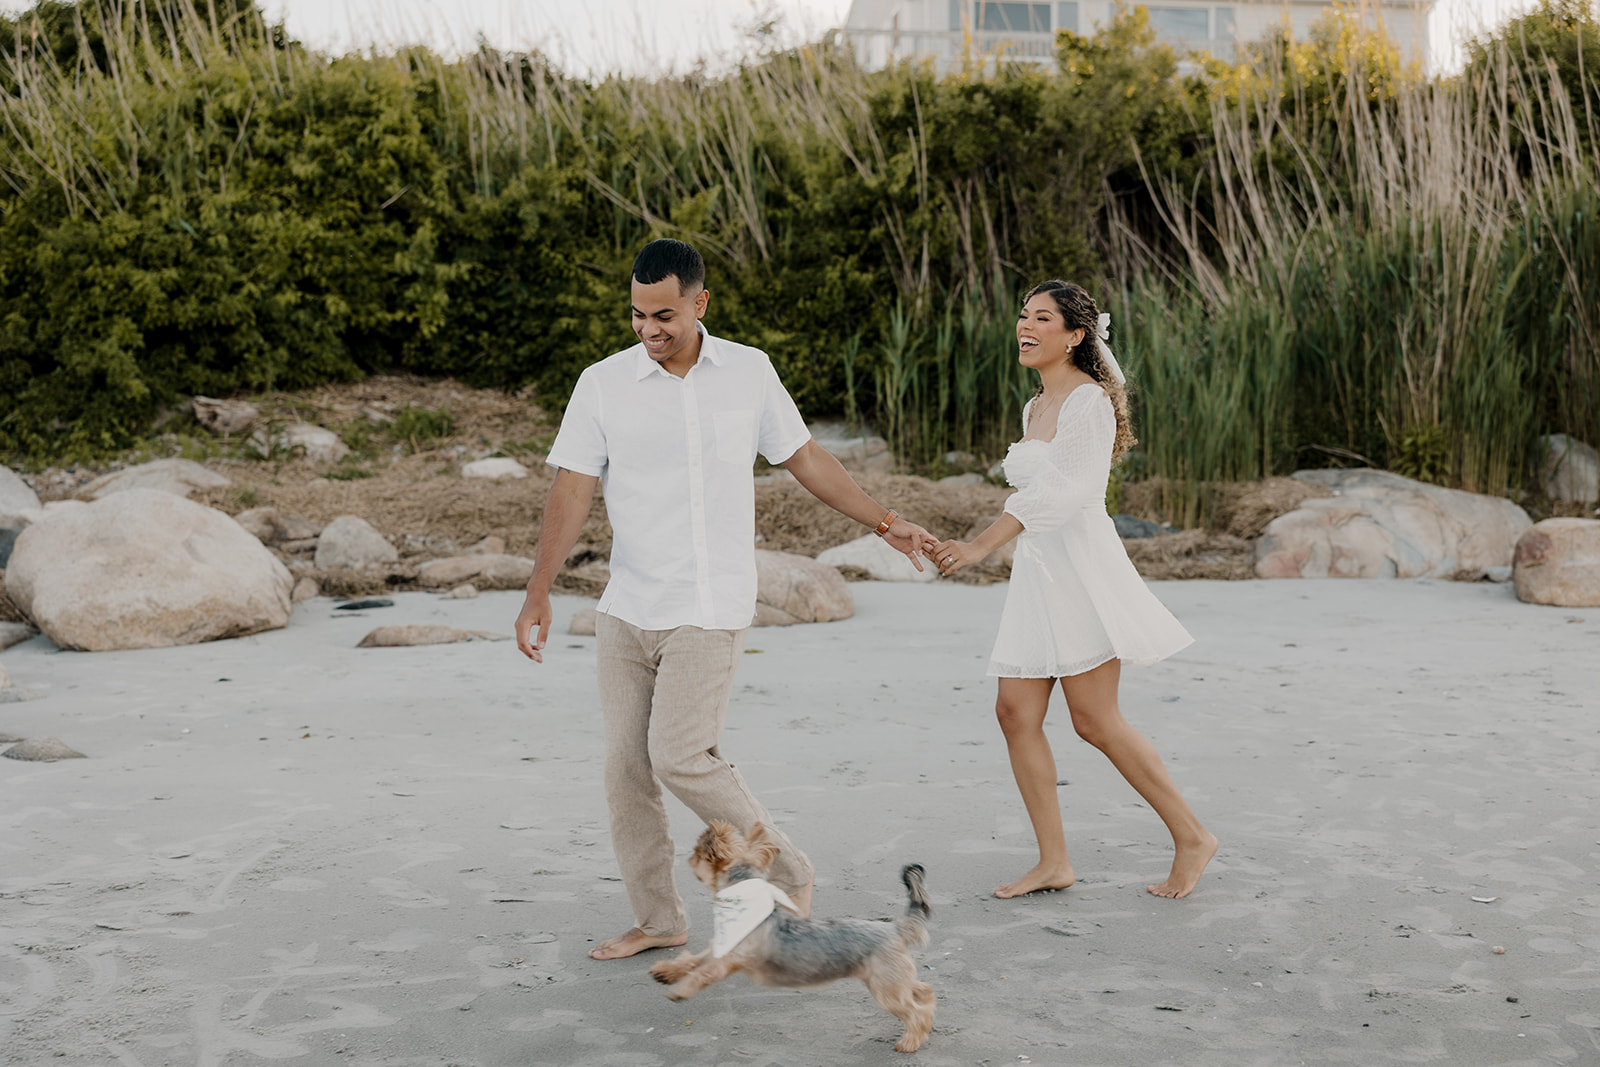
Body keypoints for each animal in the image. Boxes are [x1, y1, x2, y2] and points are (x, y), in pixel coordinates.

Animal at [643, 825, 934, 1055]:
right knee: (922, 990)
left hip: (885, 988)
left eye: (697, 854)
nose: (688, 859)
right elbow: (691, 961)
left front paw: (681, 991)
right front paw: (665, 972)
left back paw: (910, 1040)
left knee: (913, 1010)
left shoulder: (731, 959)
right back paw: (928, 1014)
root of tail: (896, 928)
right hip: (891, 978)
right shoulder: (720, 946)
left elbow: (703, 972)